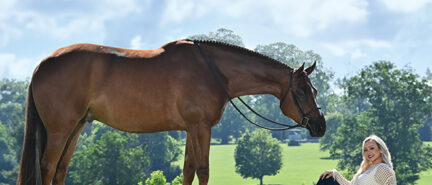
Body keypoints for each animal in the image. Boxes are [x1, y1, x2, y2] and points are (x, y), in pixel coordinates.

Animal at [18, 38, 326, 184]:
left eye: (314, 90)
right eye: (301, 91)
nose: (320, 125)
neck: (212, 71)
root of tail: (42, 64)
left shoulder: (191, 129)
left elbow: (188, 171)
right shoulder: (201, 128)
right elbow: (203, 171)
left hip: (77, 127)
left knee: (60, 170)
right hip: (60, 130)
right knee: (47, 168)